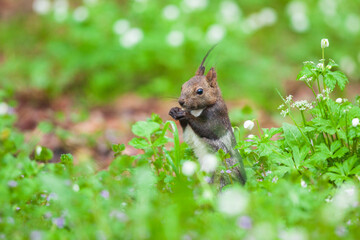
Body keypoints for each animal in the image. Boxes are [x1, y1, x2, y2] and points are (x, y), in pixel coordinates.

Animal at [169, 46, 248, 187]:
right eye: (182, 86)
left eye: (200, 91)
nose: (181, 102)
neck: (197, 110)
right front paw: (175, 111)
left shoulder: (217, 117)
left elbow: (206, 129)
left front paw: (184, 114)